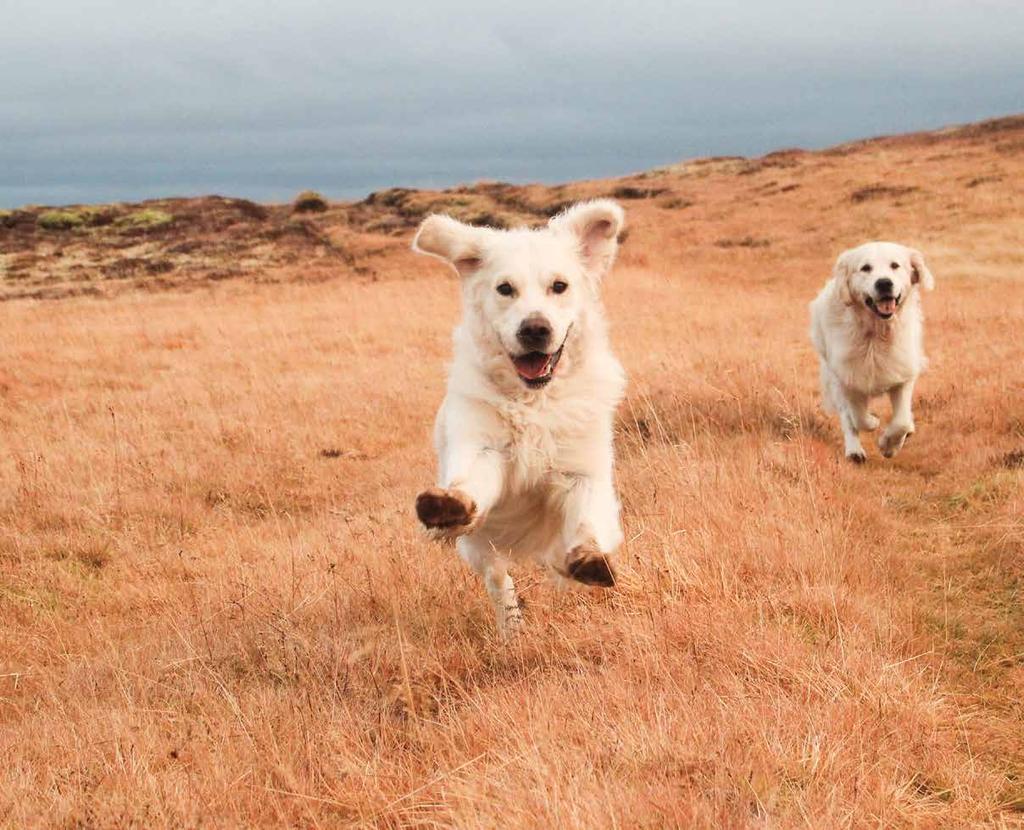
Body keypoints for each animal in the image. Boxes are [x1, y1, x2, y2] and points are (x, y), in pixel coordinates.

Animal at [411, 201, 626, 634]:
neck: (535, 402)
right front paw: (449, 504)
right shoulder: (484, 450)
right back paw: (511, 628)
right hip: (481, 545)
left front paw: (591, 559)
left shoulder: (584, 472)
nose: (535, 329)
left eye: (559, 286)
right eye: (504, 289)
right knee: (498, 578)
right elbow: (470, 484)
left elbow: (588, 521)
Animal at [806, 240, 937, 464]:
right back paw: (855, 451)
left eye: (895, 265)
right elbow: (857, 417)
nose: (884, 283)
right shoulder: (848, 377)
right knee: (847, 417)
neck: (876, 334)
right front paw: (873, 423)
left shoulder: (902, 374)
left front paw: (889, 445)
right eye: (866, 268)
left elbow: (901, 420)